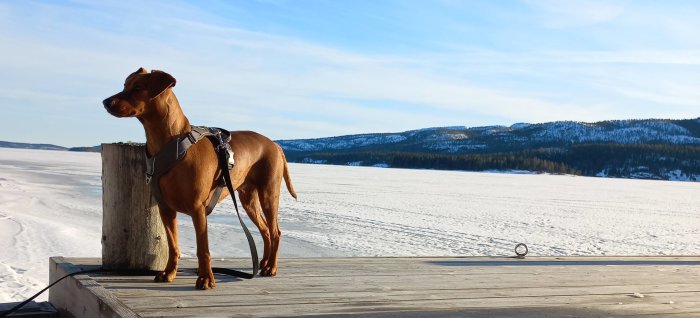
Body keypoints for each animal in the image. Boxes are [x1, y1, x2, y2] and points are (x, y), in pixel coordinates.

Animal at [102, 68, 296, 290]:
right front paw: (169, 273)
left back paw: (271, 267)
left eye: (138, 87)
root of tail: (276, 145)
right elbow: (173, 246)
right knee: (265, 230)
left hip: (268, 194)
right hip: (248, 198)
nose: (106, 102)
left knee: (275, 231)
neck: (171, 144)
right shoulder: (165, 208)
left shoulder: (197, 208)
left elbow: (203, 248)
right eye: (125, 85)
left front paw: (205, 278)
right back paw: (263, 262)